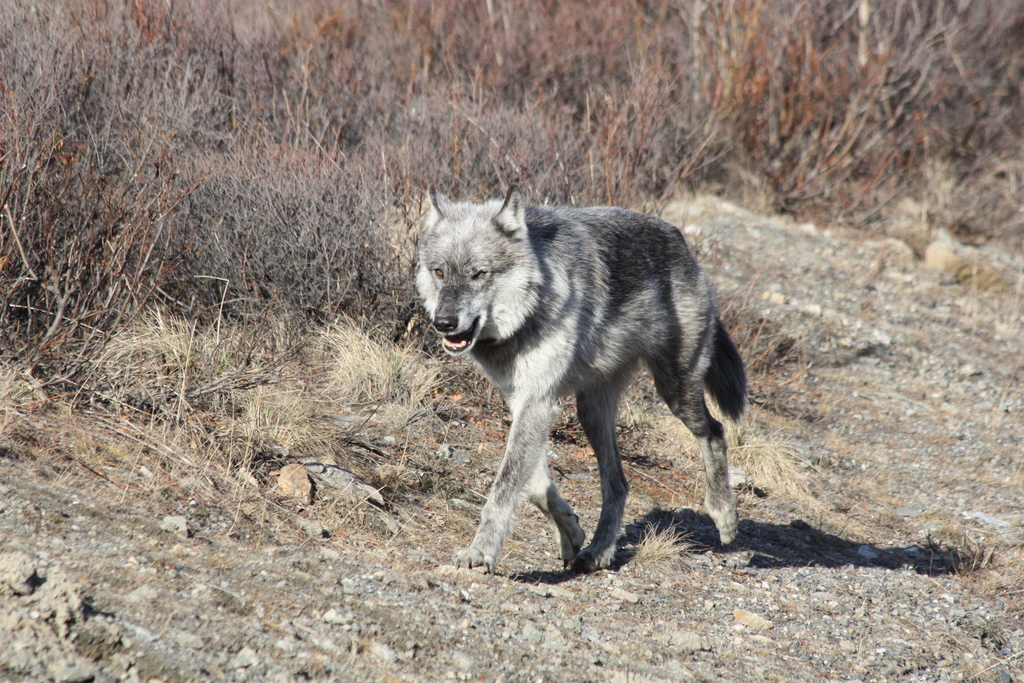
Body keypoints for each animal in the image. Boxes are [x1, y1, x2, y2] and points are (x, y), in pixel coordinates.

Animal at [416, 186, 746, 573]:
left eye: (479, 274)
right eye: (439, 271)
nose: (443, 322)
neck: (532, 306)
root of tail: (681, 241)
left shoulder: (538, 402)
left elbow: (505, 486)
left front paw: (480, 552)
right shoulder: (525, 402)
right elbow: (534, 484)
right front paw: (571, 533)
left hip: (675, 389)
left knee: (714, 431)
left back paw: (725, 515)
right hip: (591, 413)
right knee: (618, 483)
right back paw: (598, 551)